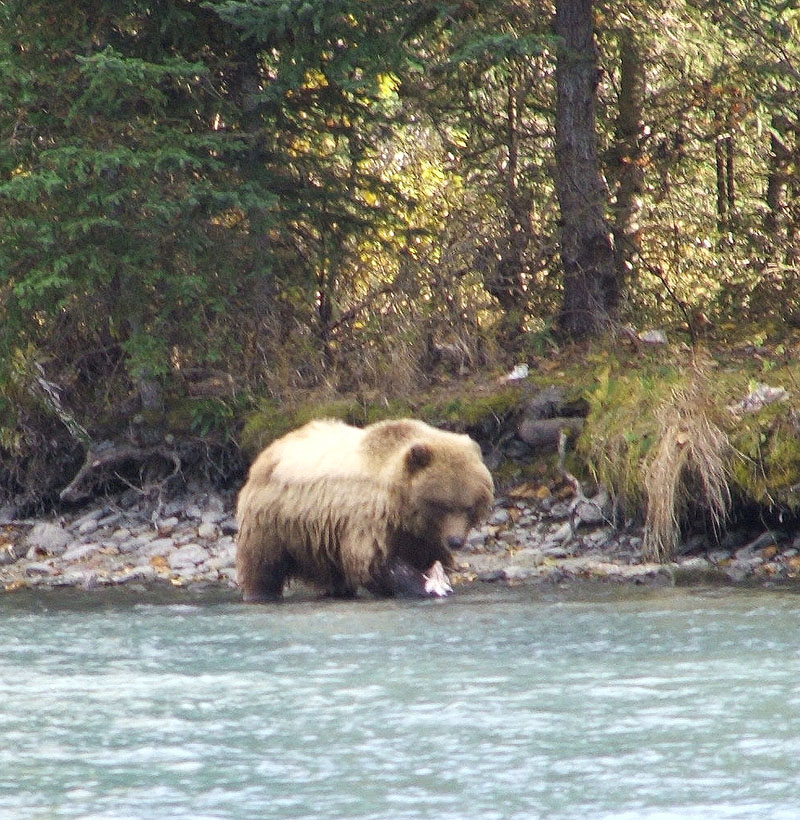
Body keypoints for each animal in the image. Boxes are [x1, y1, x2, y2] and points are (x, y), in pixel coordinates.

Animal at [235, 417, 494, 601]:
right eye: (442, 504)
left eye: (469, 506)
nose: (456, 541)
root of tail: (271, 448)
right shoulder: (370, 521)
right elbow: (374, 563)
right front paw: (420, 586)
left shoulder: (421, 536)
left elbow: (428, 557)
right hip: (272, 521)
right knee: (263, 564)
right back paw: (260, 594)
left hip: (321, 539)